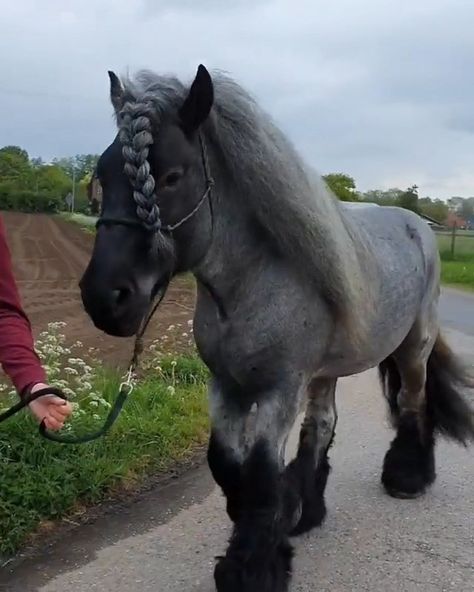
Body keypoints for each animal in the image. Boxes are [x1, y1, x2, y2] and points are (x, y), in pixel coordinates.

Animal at [78, 65, 474, 592]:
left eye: (172, 176)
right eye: (101, 178)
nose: (104, 298)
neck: (252, 283)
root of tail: (418, 226)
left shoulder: (279, 388)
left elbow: (262, 474)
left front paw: (253, 567)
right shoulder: (225, 384)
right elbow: (226, 464)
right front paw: (270, 526)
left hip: (414, 347)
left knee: (413, 402)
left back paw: (407, 478)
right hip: (326, 371)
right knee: (321, 424)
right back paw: (307, 510)